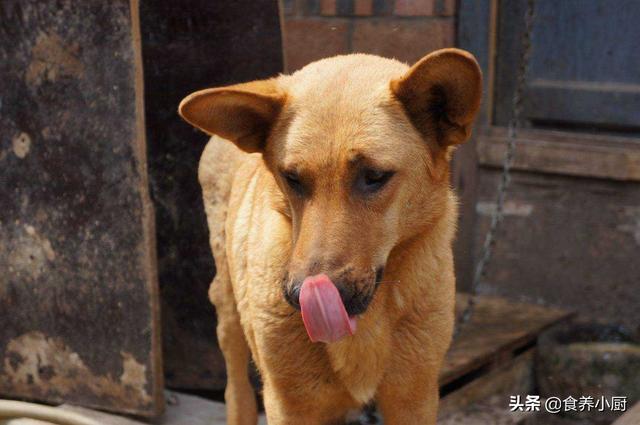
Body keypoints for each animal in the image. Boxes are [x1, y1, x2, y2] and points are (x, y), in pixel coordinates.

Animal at [178, 48, 482, 422]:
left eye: (374, 176)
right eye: (291, 178)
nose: (300, 297)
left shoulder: (414, 399)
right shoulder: (290, 405)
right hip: (228, 309)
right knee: (236, 389)